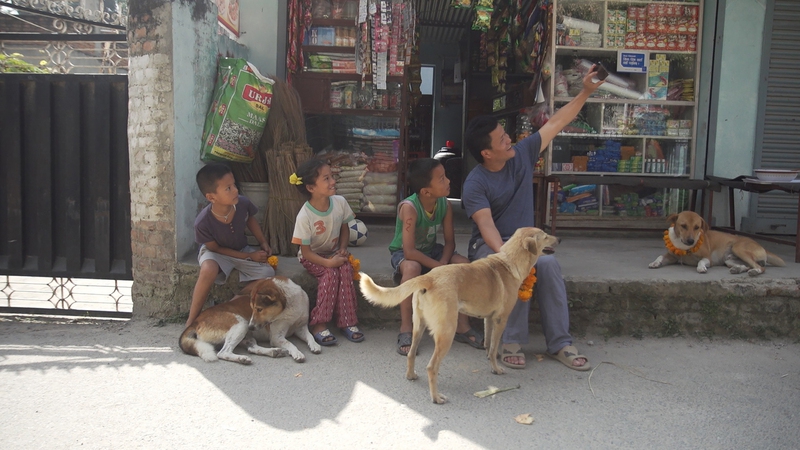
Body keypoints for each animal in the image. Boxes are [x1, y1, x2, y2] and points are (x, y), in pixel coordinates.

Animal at [360, 227, 560, 406]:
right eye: (545, 236)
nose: (559, 239)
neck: (509, 262)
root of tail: (428, 278)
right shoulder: (500, 319)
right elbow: (494, 347)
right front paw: (496, 368)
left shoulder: (488, 318)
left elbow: (489, 345)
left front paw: (490, 359)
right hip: (447, 333)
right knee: (432, 367)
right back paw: (436, 397)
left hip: (419, 327)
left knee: (410, 354)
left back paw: (411, 375)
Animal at [648, 210, 784, 276]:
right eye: (683, 226)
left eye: (697, 227)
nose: (691, 241)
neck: (684, 245)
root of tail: (762, 247)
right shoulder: (672, 256)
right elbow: (660, 256)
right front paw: (655, 262)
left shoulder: (708, 258)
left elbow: (702, 261)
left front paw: (701, 267)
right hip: (729, 259)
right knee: (747, 265)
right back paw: (737, 269)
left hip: (738, 248)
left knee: (760, 267)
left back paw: (755, 272)